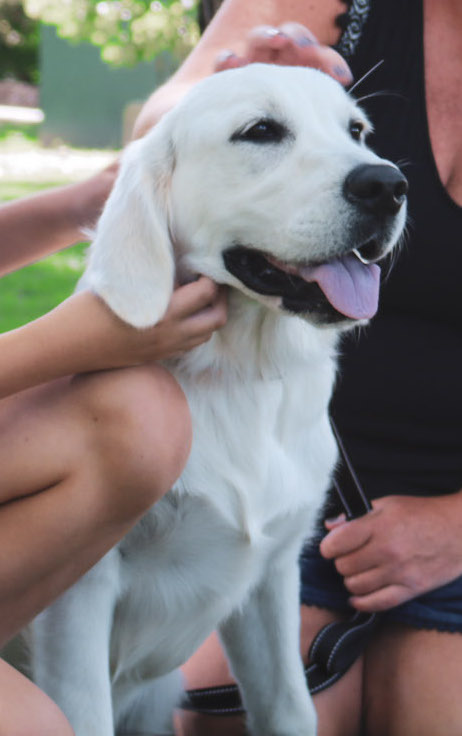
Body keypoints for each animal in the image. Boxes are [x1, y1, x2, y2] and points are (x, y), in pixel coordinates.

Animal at [14, 66, 406, 732]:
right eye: (261, 131)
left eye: (356, 130)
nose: (387, 185)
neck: (237, 374)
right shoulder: (79, 599)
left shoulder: (272, 578)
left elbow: (288, 707)